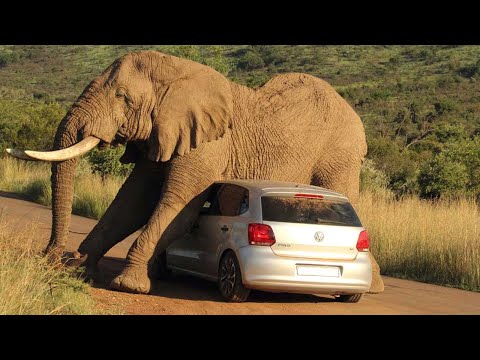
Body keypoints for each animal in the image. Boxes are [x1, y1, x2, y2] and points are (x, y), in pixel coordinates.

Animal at [5, 50, 384, 294]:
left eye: (123, 97)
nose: (50, 258)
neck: (179, 72)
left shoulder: (208, 145)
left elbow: (178, 207)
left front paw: (129, 284)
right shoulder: (164, 133)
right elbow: (132, 203)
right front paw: (83, 268)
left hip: (340, 152)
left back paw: (374, 286)